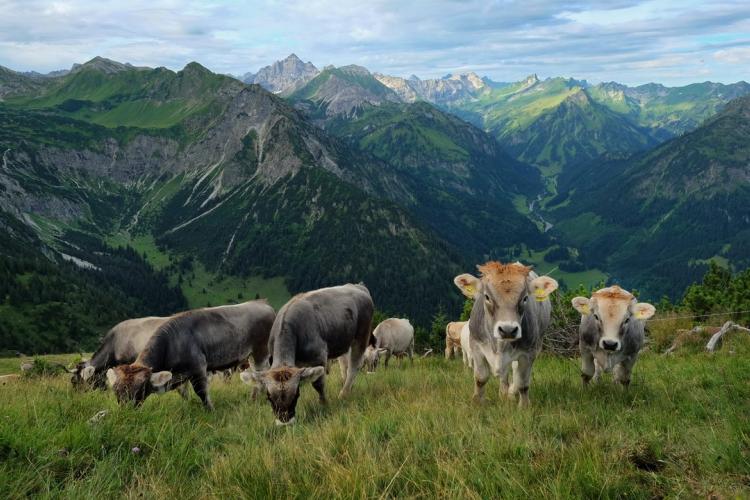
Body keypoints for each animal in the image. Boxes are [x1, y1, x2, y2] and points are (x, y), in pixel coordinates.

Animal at [108, 300, 276, 410]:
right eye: (116, 391)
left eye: (140, 389)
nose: (125, 412)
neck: (172, 343)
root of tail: (262, 303)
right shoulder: (179, 375)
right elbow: (183, 393)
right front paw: (188, 404)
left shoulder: (198, 368)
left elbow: (202, 393)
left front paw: (210, 410)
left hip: (261, 351)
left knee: (260, 373)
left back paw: (254, 399)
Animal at [245, 284, 374, 424]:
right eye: (269, 397)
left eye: (296, 394)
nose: (285, 421)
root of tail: (358, 286)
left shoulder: (319, 356)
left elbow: (318, 384)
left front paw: (324, 404)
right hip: (344, 340)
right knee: (344, 365)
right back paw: (348, 386)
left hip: (362, 335)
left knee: (354, 365)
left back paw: (343, 393)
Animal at [452, 260, 560, 408]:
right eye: (487, 296)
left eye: (525, 298)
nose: (508, 329)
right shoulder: (476, 345)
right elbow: (481, 378)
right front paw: (477, 402)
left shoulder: (528, 353)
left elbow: (523, 383)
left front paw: (524, 407)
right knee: (504, 375)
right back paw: (503, 393)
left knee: (514, 373)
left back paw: (509, 393)